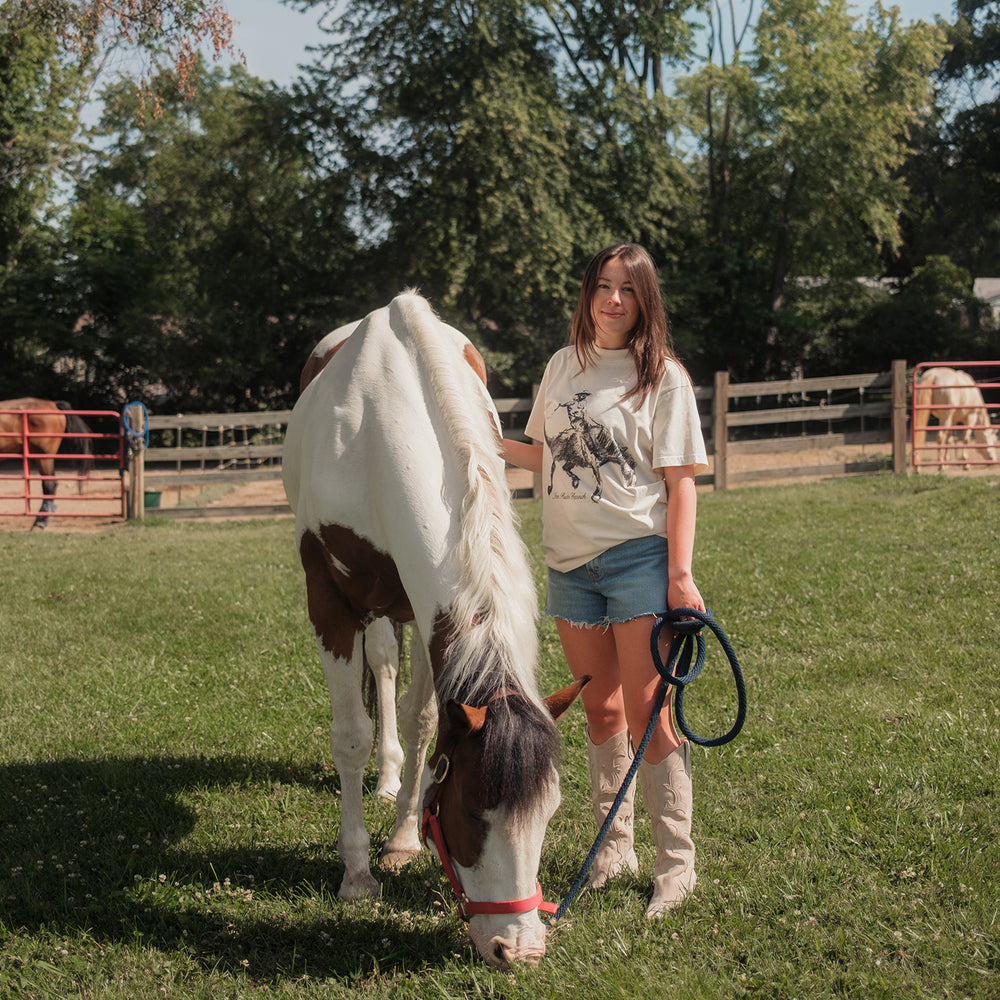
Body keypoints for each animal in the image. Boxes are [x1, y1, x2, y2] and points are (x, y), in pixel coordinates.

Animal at [282, 292, 584, 964]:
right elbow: (351, 736)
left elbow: (425, 723)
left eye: (549, 814)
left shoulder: (427, 608)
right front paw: (357, 875)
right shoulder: (329, 602)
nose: (517, 949)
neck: (379, 430)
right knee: (379, 670)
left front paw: (400, 840)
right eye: (472, 813)